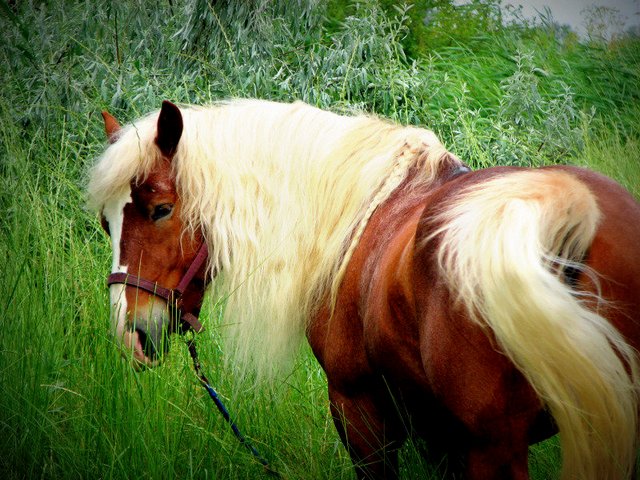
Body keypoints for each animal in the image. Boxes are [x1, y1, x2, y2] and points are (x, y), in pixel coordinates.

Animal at [90, 99, 640, 478]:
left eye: (160, 210)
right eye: (105, 223)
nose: (129, 335)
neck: (356, 217)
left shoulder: (360, 410)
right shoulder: (439, 434)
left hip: (495, 449)